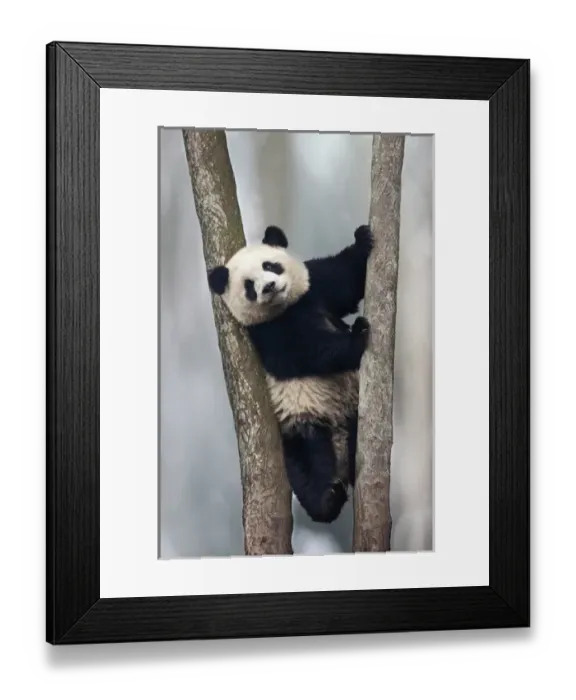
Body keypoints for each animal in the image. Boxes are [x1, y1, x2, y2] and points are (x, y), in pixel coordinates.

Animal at [207, 223, 373, 524]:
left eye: (270, 265)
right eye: (249, 286)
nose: (269, 287)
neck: (286, 309)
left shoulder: (314, 288)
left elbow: (344, 279)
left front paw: (362, 238)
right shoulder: (266, 333)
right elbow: (303, 352)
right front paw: (357, 337)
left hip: (352, 406)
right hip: (300, 423)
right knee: (308, 465)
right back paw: (327, 499)